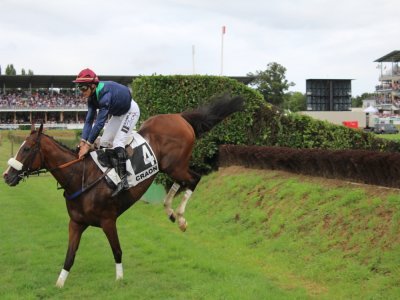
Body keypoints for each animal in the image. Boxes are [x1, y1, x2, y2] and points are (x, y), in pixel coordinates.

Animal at [2, 94, 244, 286]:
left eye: (27, 148)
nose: (7, 175)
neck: (80, 178)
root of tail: (180, 116)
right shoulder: (76, 223)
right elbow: (70, 256)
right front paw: (59, 284)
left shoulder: (108, 220)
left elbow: (117, 250)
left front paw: (119, 279)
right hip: (173, 166)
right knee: (183, 182)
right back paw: (170, 211)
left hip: (175, 164)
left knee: (194, 179)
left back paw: (181, 217)